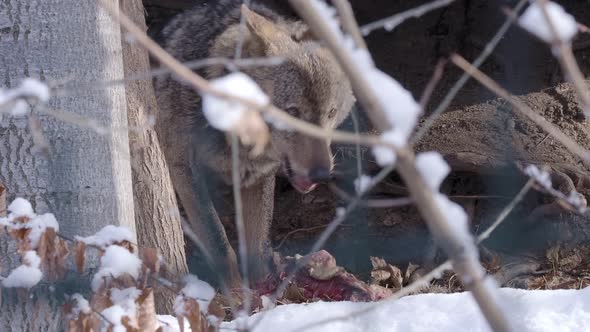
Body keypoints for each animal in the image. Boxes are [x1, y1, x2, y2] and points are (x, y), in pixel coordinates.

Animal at [154, 0, 356, 286]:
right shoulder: (182, 168)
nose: (321, 174)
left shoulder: (258, 176)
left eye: (331, 112)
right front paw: (236, 294)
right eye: (292, 112)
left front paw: (262, 288)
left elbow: (257, 246)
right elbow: (218, 242)